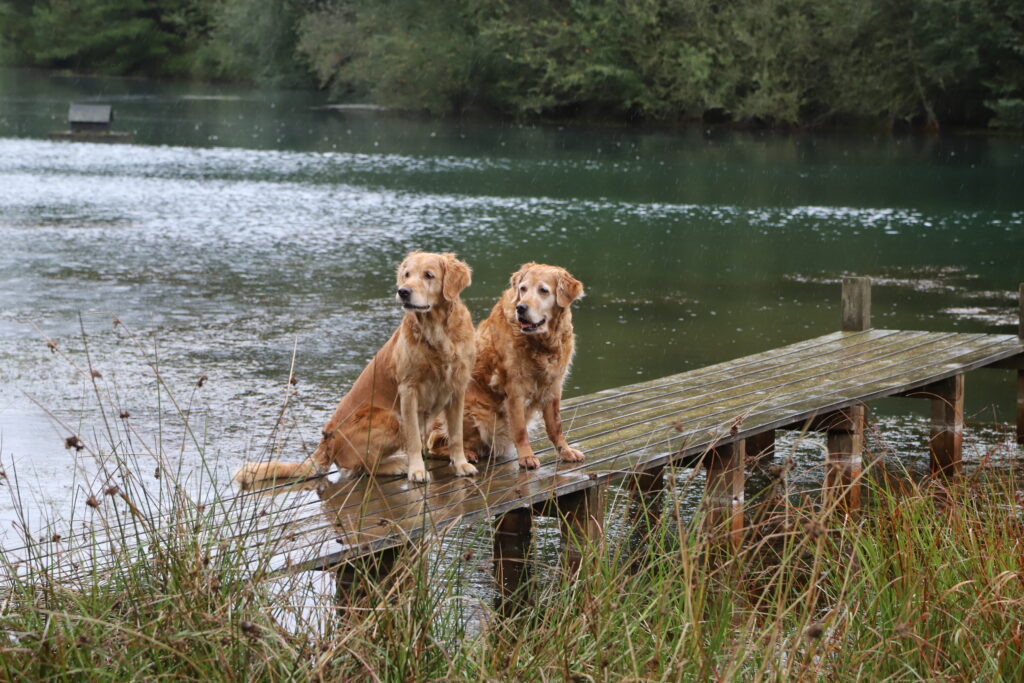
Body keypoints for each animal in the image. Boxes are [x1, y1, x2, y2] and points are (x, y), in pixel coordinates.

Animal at [235, 250, 479, 485]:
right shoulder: (408, 390)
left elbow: (456, 434)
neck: (437, 332)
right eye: (407, 275)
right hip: (389, 417)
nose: (403, 291)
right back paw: (399, 464)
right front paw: (417, 471)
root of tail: (326, 440)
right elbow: (414, 440)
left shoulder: (458, 388)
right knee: (362, 467)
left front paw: (461, 465)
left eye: (429, 275)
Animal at [423, 262, 585, 471]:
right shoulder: (514, 388)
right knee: (436, 444)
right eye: (523, 289)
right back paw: (466, 454)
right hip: (476, 412)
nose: (521, 308)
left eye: (543, 290)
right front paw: (526, 457)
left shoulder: (553, 385)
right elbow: (520, 429)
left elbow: (555, 426)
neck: (541, 343)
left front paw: (565, 451)